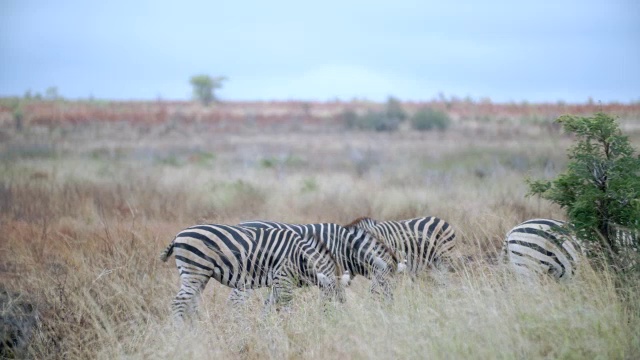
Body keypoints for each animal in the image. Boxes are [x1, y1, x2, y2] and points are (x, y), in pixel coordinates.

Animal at [160, 225, 350, 320]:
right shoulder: (283, 280)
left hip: (201, 276)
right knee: (178, 303)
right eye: (331, 302)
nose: (338, 323)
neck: (299, 258)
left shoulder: (277, 283)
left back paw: (196, 328)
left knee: (191, 303)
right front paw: (290, 326)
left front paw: (263, 326)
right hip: (194, 271)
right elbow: (287, 307)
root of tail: (179, 234)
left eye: (343, 303)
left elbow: (268, 305)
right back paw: (181, 332)